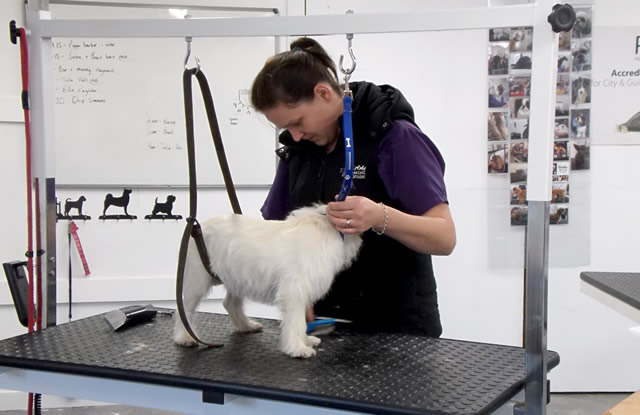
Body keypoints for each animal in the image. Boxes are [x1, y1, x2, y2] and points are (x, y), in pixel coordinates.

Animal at [172, 203, 362, 360]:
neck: (327, 228)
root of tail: (198, 227)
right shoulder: (294, 293)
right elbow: (297, 323)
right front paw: (297, 348)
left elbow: (300, 322)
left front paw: (305, 340)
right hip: (197, 281)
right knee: (185, 310)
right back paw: (185, 337)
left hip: (236, 278)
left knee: (230, 304)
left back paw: (246, 325)